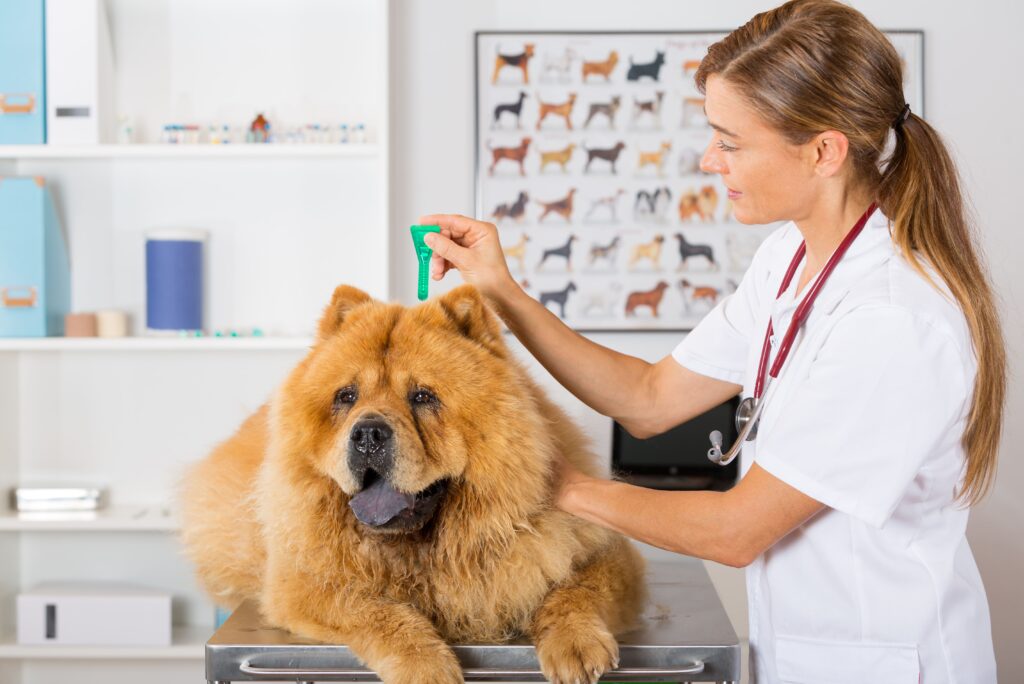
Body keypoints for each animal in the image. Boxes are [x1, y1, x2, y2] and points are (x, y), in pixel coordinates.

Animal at [180, 282, 643, 684]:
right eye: (346, 396)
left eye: (422, 397)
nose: (368, 433)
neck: (422, 552)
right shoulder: (303, 583)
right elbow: (375, 610)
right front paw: (426, 666)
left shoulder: (604, 553)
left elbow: (577, 589)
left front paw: (576, 644)